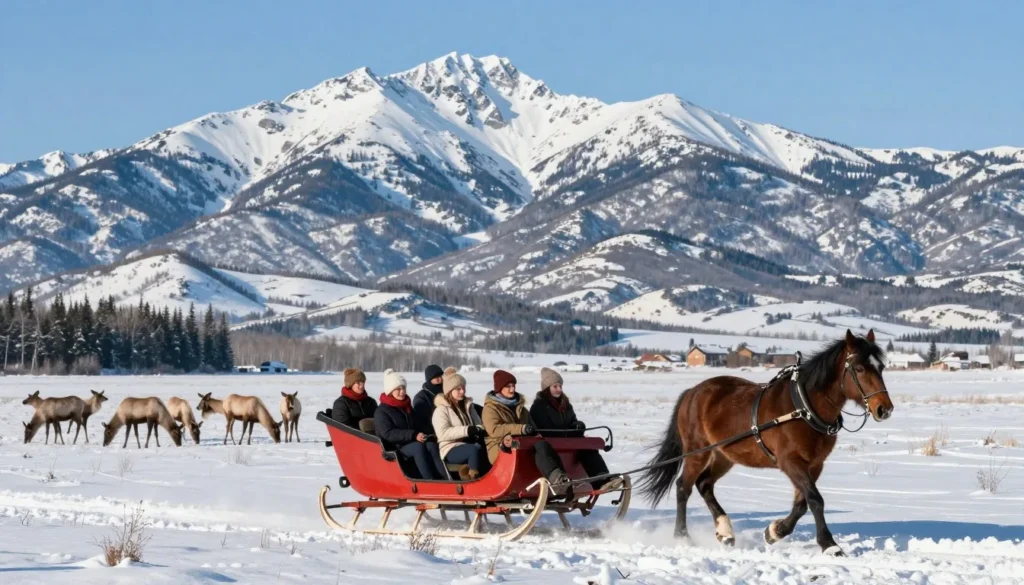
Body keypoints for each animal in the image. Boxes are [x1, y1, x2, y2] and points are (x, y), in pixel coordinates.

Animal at [636, 329, 893, 556]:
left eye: (880, 367)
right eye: (859, 368)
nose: (884, 409)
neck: (803, 408)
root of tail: (692, 392)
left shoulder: (815, 465)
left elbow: (802, 503)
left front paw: (774, 531)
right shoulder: (790, 462)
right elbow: (815, 500)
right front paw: (829, 545)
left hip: (723, 455)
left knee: (704, 485)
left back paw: (725, 532)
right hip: (696, 452)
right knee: (684, 487)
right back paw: (682, 535)